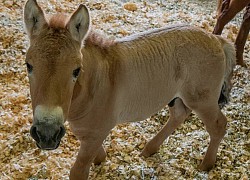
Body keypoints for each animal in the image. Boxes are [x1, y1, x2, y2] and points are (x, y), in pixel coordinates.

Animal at [23, 0, 236, 179]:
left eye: (76, 70)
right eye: (28, 65)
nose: (46, 134)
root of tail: (217, 39)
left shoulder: (97, 131)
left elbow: (79, 170)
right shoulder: (86, 130)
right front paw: (101, 159)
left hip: (202, 100)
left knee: (218, 125)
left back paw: (206, 165)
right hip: (176, 96)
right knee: (178, 115)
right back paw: (150, 149)